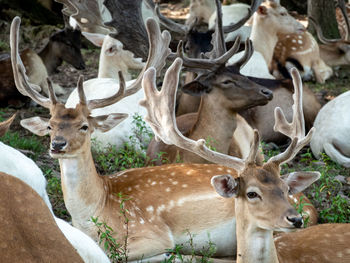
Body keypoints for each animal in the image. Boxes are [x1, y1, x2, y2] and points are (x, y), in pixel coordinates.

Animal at [12, 16, 314, 262]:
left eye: (85, 126)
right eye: (50, 125)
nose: (58, 145)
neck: (93, 212)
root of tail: (307, 204)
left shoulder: (150, 235)